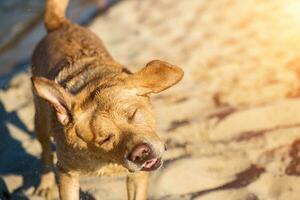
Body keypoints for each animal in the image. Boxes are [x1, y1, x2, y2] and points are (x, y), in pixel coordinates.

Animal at [30, 0, 183, 199]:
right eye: (105, 138)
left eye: (133, 114)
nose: (140, 153)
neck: (108, 159)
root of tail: (59, 25)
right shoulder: (66, 172)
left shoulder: (138, 176)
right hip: (41, 120)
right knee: (46, 151)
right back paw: (46, 184)